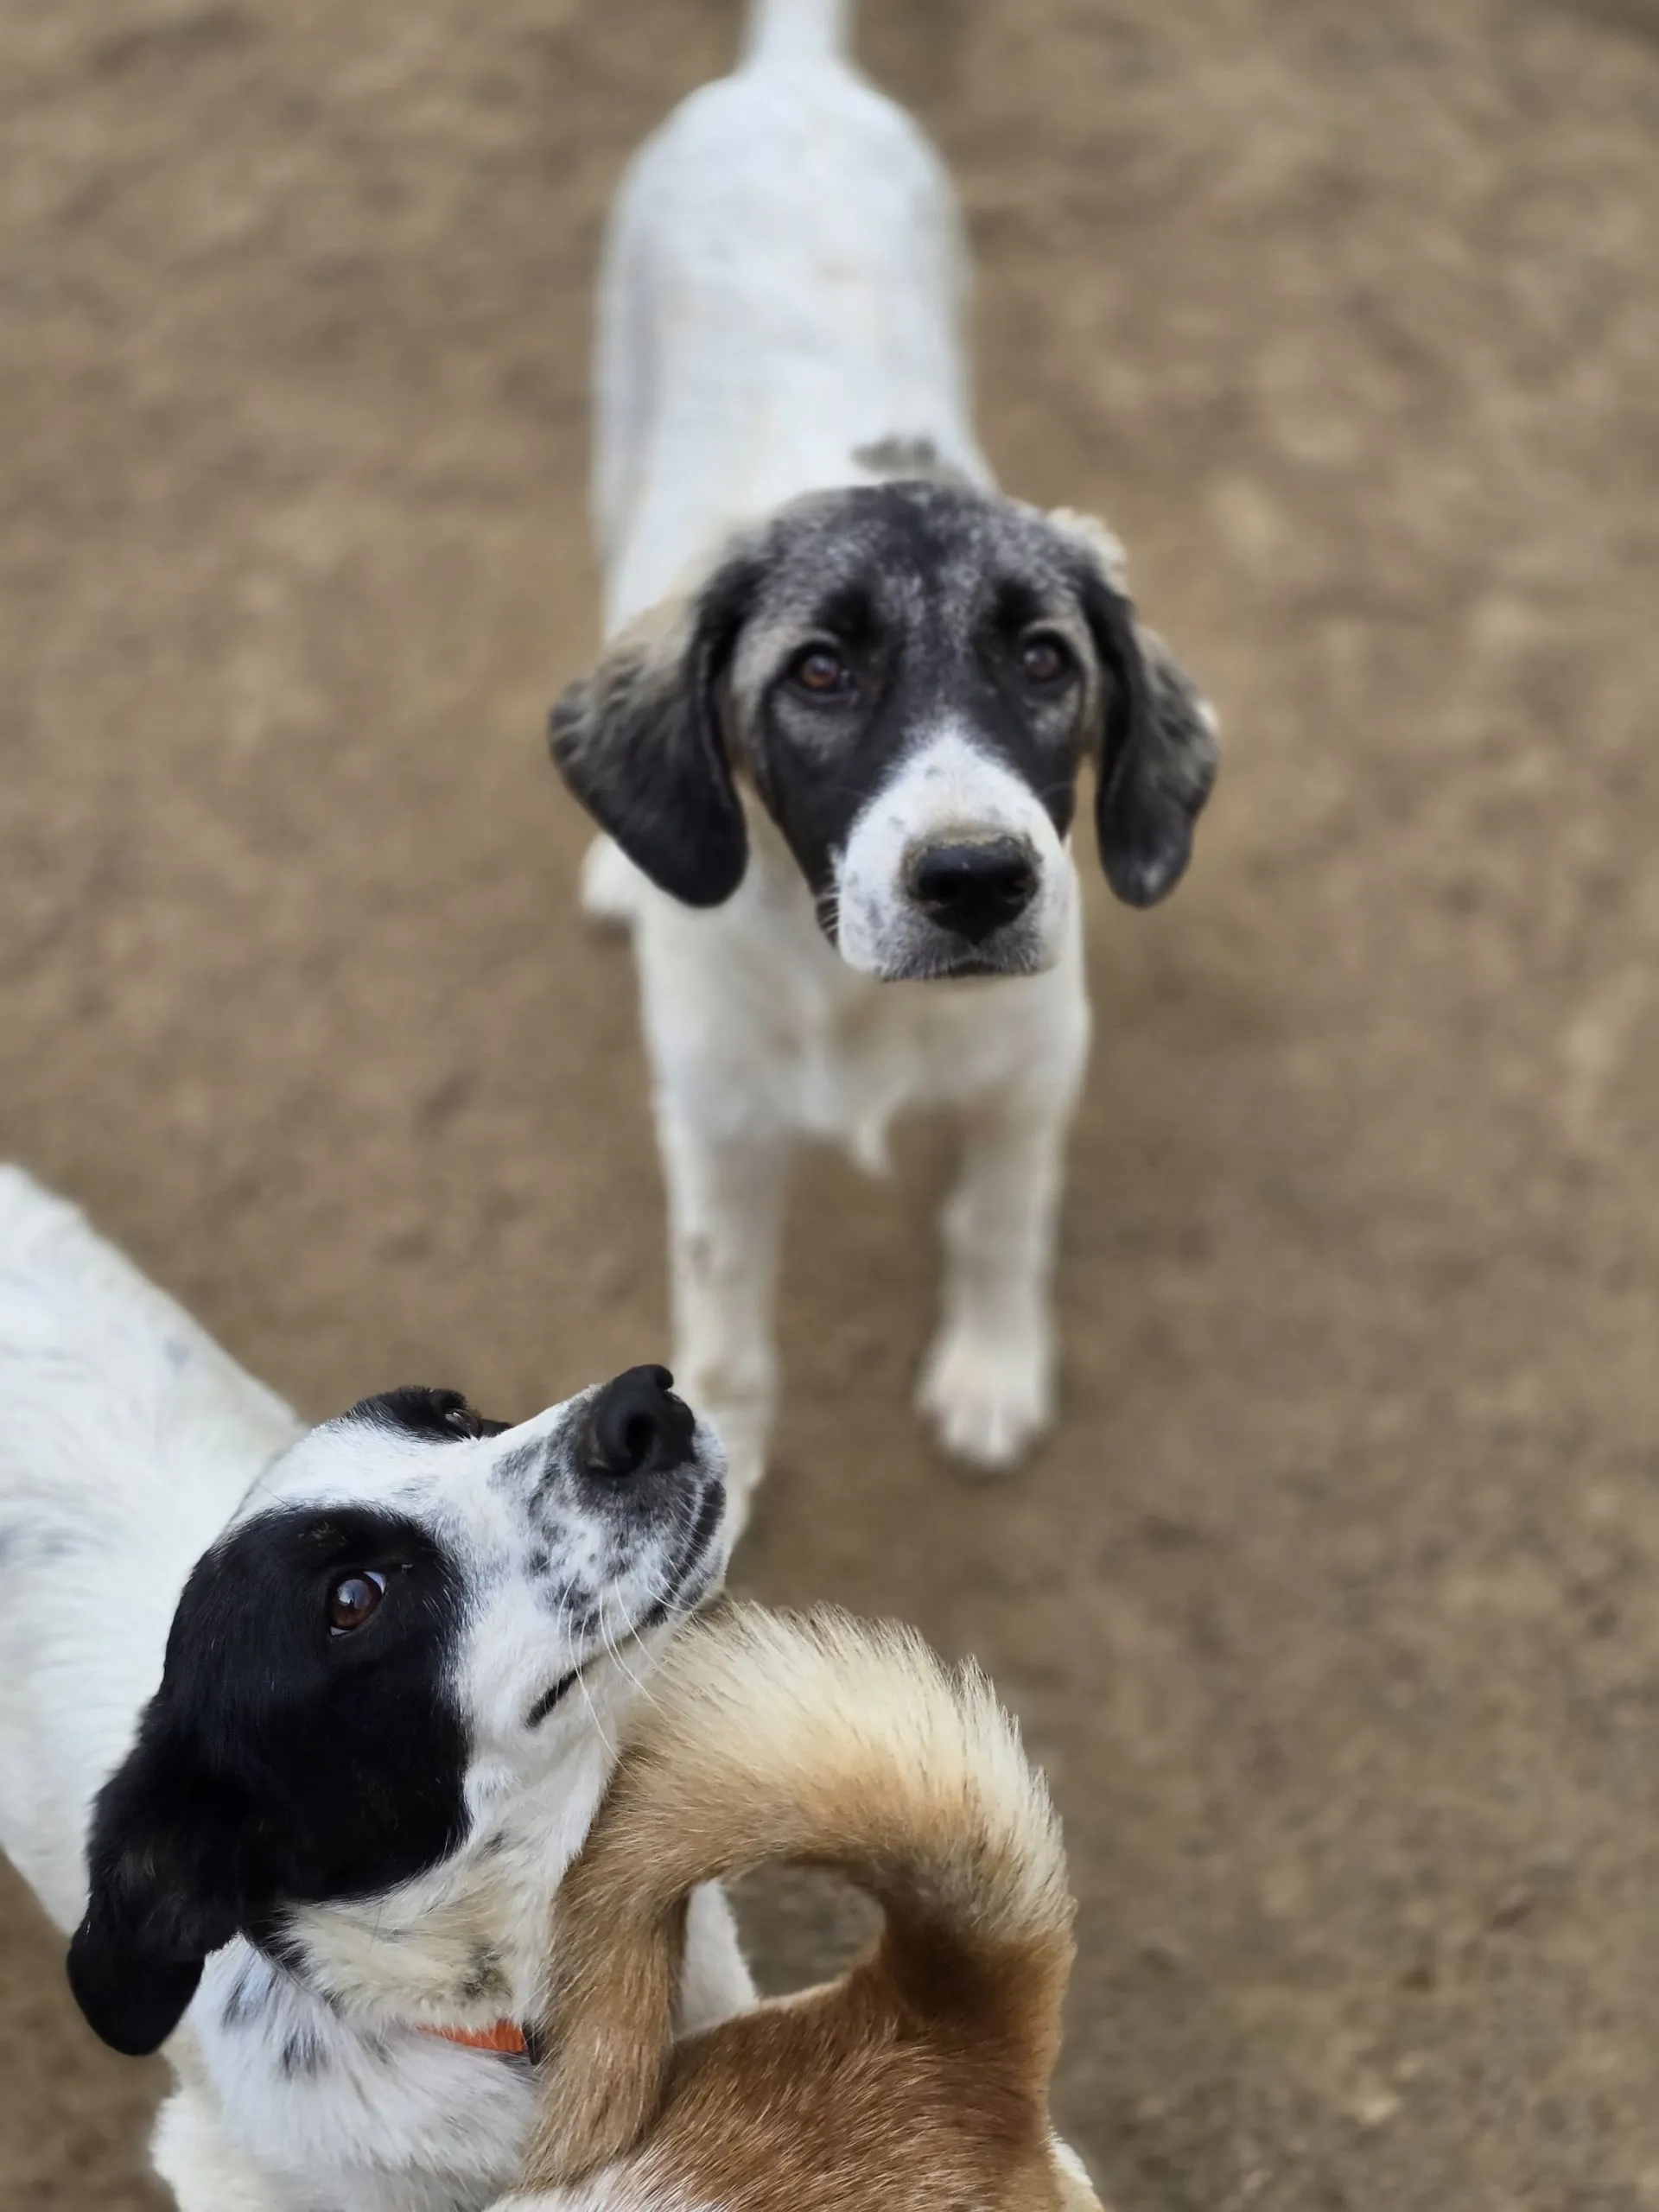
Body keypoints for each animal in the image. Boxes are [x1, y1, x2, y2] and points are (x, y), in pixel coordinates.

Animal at [549, 0, 1217, 1514]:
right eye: (819, 672)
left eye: (1045, 663)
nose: (975, 883)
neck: (851, 994)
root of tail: (792, 76)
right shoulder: (718, 1126)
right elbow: (724, 1319)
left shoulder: (1035, 1073)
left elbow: (997, 1222)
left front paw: (991, 1371)